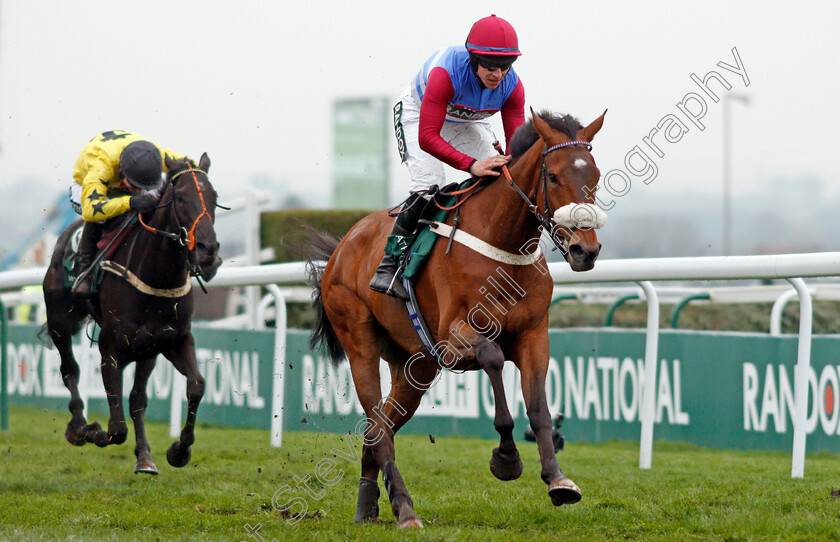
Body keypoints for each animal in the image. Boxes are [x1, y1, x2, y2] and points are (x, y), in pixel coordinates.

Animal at [42, 154, 220, 476]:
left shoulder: (173, 340)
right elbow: (116, 429)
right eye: (180, 197)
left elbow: (196, 386)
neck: (156, 275)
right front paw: (93, 432)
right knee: (70, 370)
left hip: (146, 350)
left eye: (214, 197)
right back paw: (78, 427)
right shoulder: (110, 347)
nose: (208, 251)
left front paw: (179, 450)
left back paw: (144, 456)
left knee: (137, 398)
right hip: (59, 321)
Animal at [306, 108, 608, 528]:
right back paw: (405, 509)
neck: (503, 242)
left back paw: (369, 506)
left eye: (593, 175)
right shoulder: (452, 339)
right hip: (360, 342)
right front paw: (506, 458)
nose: (585, 251)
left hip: (414, 367)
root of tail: (342, 246)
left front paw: (558, 479)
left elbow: (538, 407)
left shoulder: (534, 335)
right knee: (377, 422)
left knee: (380, 424)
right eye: (553, 177)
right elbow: (493, 358)